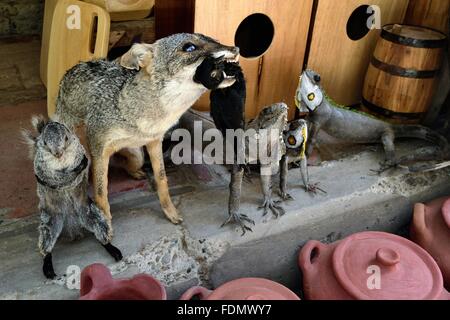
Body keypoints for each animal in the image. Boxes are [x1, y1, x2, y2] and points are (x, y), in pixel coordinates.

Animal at [53, 32, 239, 224]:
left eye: (215, 41)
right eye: (189, 47)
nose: (235, 49)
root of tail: (75, 67)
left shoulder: (154, 142)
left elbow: (162, 180)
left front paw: (170, 211)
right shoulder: (99, 149)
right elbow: (100, 191)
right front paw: (105, 222)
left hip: (138, 155)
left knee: (127, 164)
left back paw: (136, 172)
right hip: (84, 158)